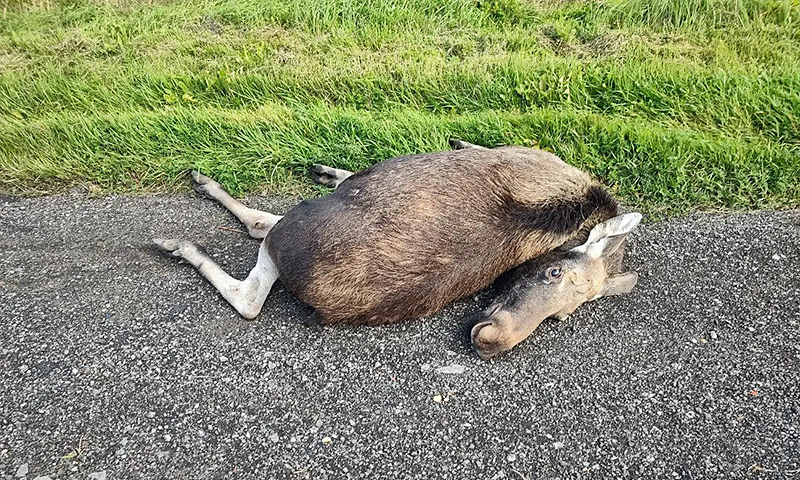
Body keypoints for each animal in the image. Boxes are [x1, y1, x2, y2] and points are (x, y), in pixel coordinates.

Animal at [154, 140, 641, 360]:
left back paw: (182, 235)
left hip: (292, 228)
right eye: (551, 273)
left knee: (253, 276)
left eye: (561, 315)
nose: (492, 341)